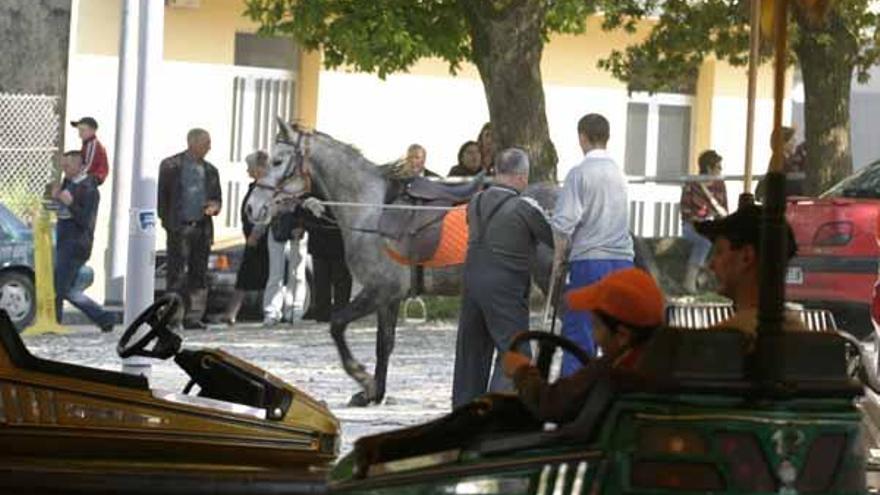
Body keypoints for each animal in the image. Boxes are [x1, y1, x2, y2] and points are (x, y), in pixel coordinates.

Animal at [244, 120, 552, 406]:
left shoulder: (380, 289)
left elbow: (337, 324)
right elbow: (385, 343)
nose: (251, 207)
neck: (372, 209)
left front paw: (362, 378)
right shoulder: (389, 298)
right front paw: (373, 392)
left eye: (277, 161)